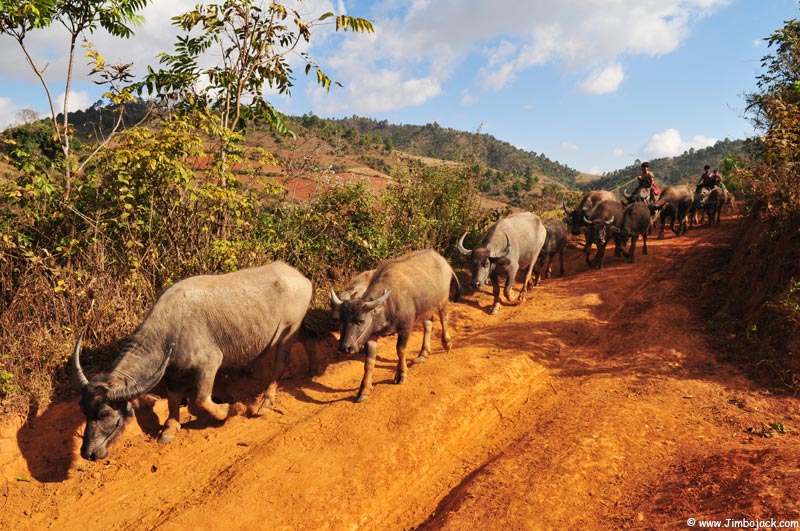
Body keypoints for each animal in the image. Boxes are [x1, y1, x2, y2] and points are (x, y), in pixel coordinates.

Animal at [74, 262, 312, 462]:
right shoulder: (172, 372)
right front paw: (170, 428)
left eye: (104, 413)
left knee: (280, 363)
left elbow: (201, 398)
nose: (87, 453)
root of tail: (301, 277)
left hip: (289, 331)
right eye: (83, 411)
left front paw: (228, 411)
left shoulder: (209, 363)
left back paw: (266, 402)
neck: (169, 330)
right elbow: (172, 398)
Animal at [330, 249, 456, 404]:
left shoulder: (405, 328)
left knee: (444, 318)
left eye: (361, 320)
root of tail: (441, 259)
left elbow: (400, 350)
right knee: (428, 323)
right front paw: (364, 390)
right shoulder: (371, 335)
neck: (388, 306)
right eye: (342, 320)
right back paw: (423, 353)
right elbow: (369, 363)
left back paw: (447, 343)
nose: (344, 347)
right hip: (426, 308)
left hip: (443, 300)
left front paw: (401, 374)